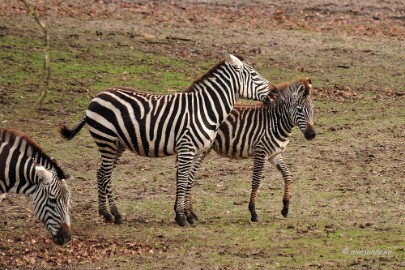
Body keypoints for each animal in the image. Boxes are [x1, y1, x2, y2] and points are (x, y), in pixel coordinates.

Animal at [58, 51, 274, 227]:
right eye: (254, 74)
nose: (274, 93)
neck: (205, 109)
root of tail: (96, 97)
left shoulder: (197, 151)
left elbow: (189, 181)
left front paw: (188, 215)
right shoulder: (186, 148)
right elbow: (182, 180)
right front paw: (181, 217)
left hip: (116, 144)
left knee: (101, 172)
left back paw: (106, 214)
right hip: (107, 140)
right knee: (105, 175)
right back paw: (115, 215)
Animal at [185, 77, 316, 221]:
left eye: (313, 109)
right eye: (299, 110)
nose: (312, 135)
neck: (275, 122)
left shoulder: (275, 154)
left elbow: (287, 175)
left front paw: (285, 208)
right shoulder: (261, 152)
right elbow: (256, 181)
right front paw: (253, 212)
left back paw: (191, 213)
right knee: (188, 176)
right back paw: (189, 213)